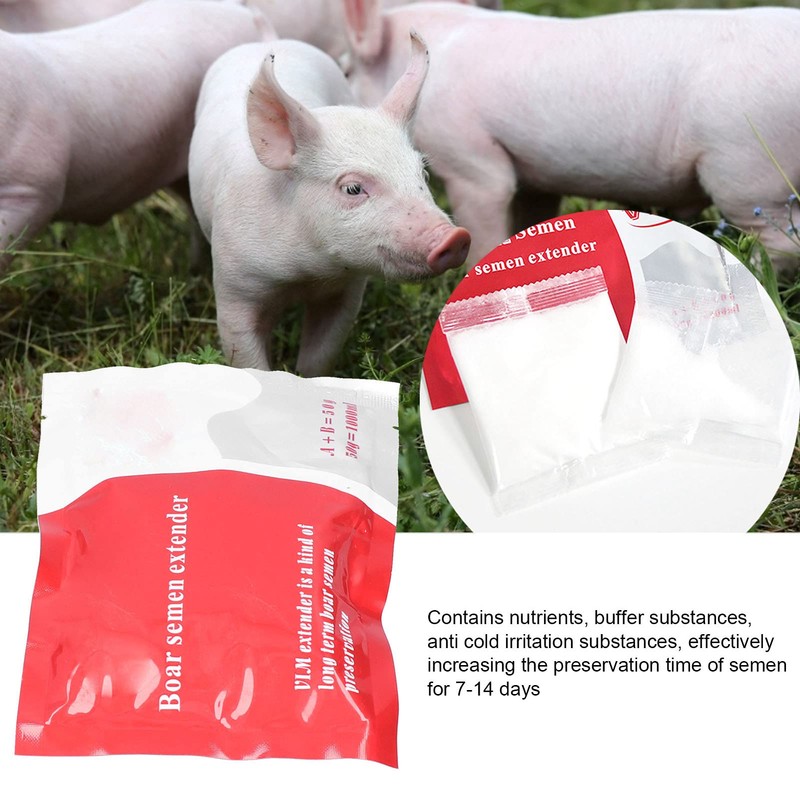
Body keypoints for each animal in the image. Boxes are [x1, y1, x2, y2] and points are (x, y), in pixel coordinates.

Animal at [188, 34, 471, 375]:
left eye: (423, 174)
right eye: (353, 188)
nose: (456, 237)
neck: (305, 273)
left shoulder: (346, 291)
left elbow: (320, 356)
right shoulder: (235, 287)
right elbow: (247, 359)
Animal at [343, 1, 800, 272]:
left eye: (346, 71)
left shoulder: (470, 157)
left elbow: (488, 208)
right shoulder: (534, 175)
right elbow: (532, 216)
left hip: (748, 168)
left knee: (779, 244)